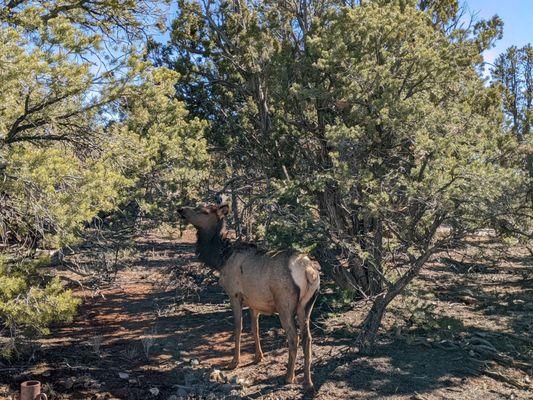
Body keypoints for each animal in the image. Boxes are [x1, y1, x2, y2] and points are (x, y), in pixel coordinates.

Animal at [179, 198, 320, 392]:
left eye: (204, 211)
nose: (181, 210)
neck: (221, 258)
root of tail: (308, 271)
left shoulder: (234, 293)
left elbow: (238, 328)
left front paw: (234, 362)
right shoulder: (254, 301)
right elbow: (255, 328)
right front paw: (258, 357)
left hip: (285, 303)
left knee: (294, 337)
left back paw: (289, 377)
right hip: (307, 305)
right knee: (308, 338)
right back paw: (307, 381)